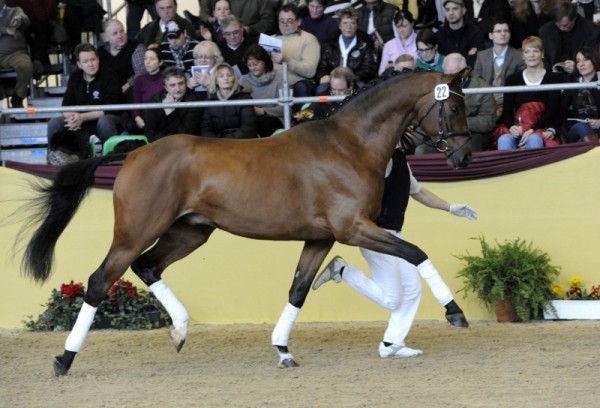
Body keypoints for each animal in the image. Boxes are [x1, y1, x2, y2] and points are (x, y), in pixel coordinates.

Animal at [18, 67, 472, 376]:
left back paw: (180, 331)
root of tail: (132, 154)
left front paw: (283, 351)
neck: (348, 146)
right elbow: (416, 252)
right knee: (100, 280)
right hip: (135, 233)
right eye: (453, 105)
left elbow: (298, 290)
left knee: (147, 266)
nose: (464, 156)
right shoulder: (353, 228)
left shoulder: (321, 239)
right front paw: (455, 314)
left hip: (191, 232)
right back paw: (64, 359)